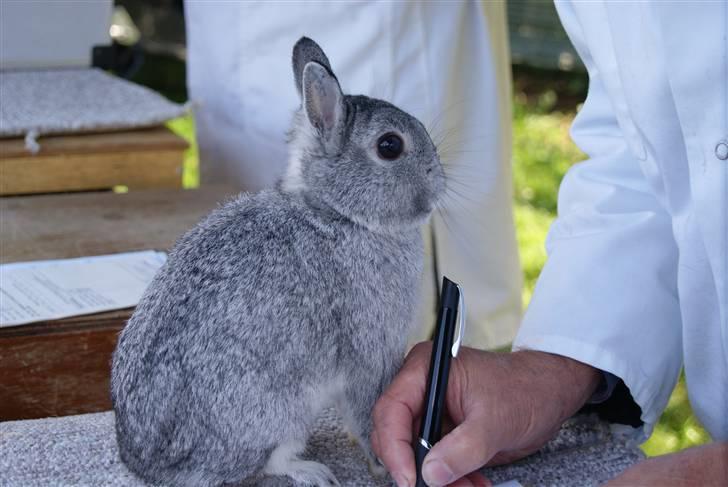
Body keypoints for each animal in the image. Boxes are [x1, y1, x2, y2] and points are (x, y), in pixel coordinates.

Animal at [111, 38, 446, 487]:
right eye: (390, 146)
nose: (438, 181)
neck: (339, 214)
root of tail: (150, 467)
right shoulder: (371, 348)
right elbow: (368, 408)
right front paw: (384, 464)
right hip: (282, 411)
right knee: (272, 460)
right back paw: (314, 471)